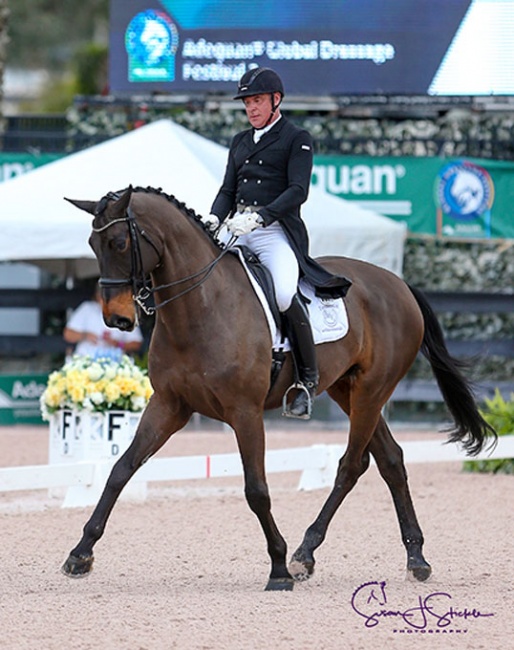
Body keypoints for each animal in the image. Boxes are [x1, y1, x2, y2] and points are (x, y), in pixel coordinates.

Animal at [62, 185, 494, 588]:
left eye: (120, 243)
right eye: (92, 245)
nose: (116, 319)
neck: (201, 305)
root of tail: (399, 285)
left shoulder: (245, 412)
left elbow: (256, 489)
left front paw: (279, 567)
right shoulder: (169, 405)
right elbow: (121, 469)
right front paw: (80, 554)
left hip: (372, 391)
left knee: (350, 465)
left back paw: (305, 555)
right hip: (347, 391)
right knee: (390, 460)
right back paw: (412, 558)